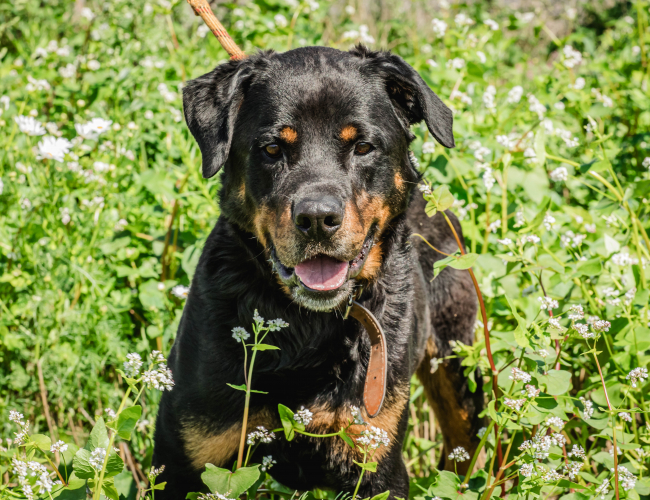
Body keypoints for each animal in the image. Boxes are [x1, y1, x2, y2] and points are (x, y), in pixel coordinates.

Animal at [153, 45, 480, 498]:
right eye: (273, 149)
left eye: (363, 147)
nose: (317, 218)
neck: (306, 325)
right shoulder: (186, 455)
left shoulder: (376, 463)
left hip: (457, 359)